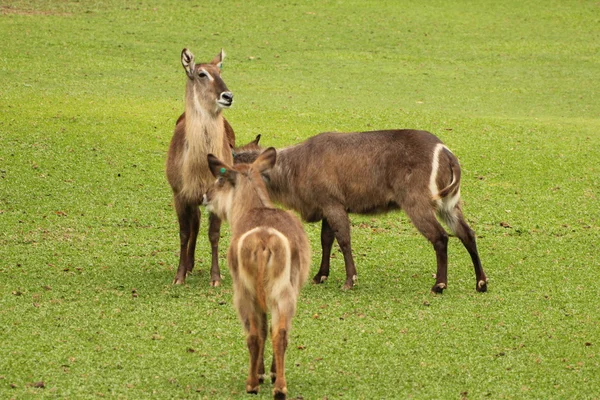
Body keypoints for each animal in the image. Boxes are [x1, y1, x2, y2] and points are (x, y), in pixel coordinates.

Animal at [169, 48, 237, 286]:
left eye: (220, 71)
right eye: (201, 74)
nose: (228, 96)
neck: (197, 170)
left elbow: (214, 234)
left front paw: (215, 277)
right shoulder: (180, 193)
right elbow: (183, 233)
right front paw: (179, 276)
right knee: (194, 224)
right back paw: (188, 265)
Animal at [205, 148, 312, 400]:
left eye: (220, 179)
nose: (205, 195)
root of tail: (264, 239)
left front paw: (265, 373)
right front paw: (266, 373)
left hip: (250, 292)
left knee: (261, 333)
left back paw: (261, 384)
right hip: (275, 292)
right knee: (273, 333)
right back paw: (270, 385)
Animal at [234, 131, 488, 294]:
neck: (295, 168)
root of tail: (445, 152)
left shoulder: (333, 204)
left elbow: (343, 240)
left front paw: (349, 281)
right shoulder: (328, 206)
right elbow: (326, 240)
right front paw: (320, 276)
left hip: (417, 202)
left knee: (441, 237)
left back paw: (439, 286)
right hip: (449, 204)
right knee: (467, 234)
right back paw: (481, 283)